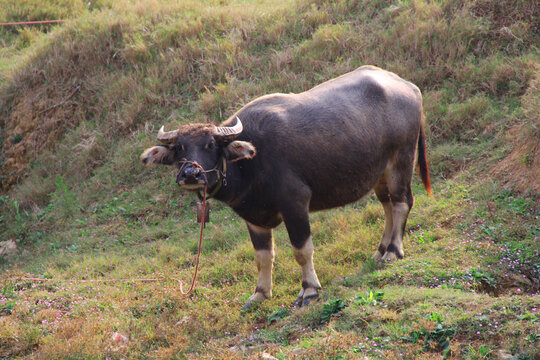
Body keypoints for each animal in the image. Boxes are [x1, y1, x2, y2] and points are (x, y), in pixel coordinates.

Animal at [141, 64, 432, 306]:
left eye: (210, 145)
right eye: (179, 148)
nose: (191, 174)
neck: (250, 163)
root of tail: (409, 87)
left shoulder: (295, 204)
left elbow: (302, 250)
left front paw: (309, 289)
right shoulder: (253, 218)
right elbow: (262, 257)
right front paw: (260, 293)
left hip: (401, 159)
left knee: (402, 202)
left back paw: (393, 251)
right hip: (380, 172)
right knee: (386, 205)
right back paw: (380, 251)